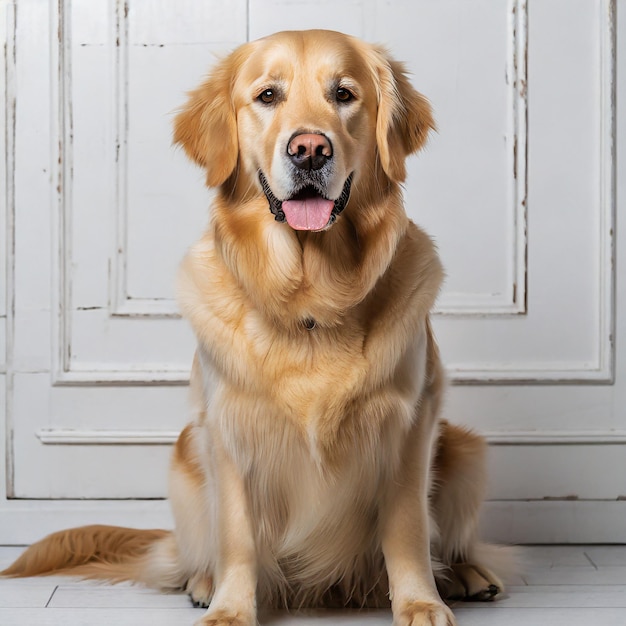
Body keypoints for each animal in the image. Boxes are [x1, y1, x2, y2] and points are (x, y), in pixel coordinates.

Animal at [2, 30, 512, 624]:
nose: (310, 149)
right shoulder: (229, 428)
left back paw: (466, 575)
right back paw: (203, 581)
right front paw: (230, 609)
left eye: (344, 94)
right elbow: (238, 536)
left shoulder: (411, 423)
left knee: (451, 539)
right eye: (268, 95)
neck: (311, 303)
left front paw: (420, 603)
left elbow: (407, 528)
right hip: (185, 456)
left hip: (465, 449)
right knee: (194, 552)